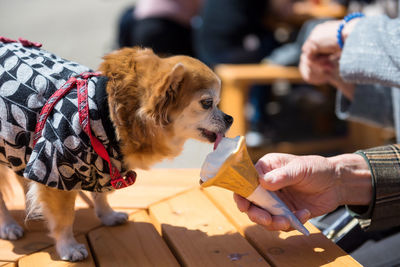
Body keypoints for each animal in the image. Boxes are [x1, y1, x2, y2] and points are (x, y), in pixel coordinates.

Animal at [0, 38, 233, 262]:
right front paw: (69, 247)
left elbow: (100, 195)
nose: (230, 118)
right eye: (207, 103)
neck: (106, 114)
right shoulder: (55, 169)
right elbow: (64, 218)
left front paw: (108, 216)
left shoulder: (101, 164)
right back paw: (8, 226)